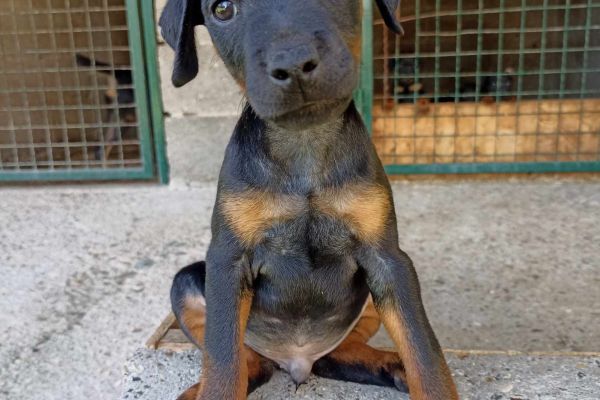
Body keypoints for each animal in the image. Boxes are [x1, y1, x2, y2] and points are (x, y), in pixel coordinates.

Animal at [159, 1, 460, 398]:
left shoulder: (389, 261)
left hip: (368, 300)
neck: (304, 145)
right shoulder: (227, 261)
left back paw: (391, 365)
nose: (293, 64)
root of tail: (295, 360)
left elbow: (425, 354)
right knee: (250, 365)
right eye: (222, 9)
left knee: (337, 354)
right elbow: (222, 362)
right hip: (188, 284)